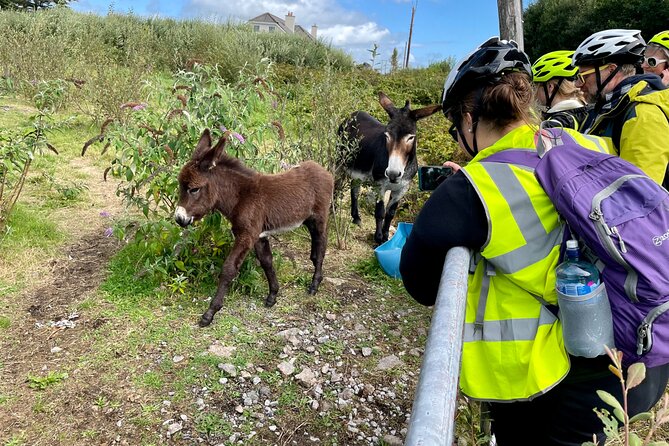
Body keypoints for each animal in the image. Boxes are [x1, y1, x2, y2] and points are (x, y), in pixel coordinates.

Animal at [175, 129, 334, 328]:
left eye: (194, 189)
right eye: (181, 187)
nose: (179, 219)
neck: (242, 196)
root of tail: (323, 170)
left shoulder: (246, 236)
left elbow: (228, 269)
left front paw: (210, 313)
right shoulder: (258, 236)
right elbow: (267, 262)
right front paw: (273, 295)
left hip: (320, 217)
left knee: (321, 247)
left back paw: (314, 285)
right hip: (308, 220)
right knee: (316, 248)